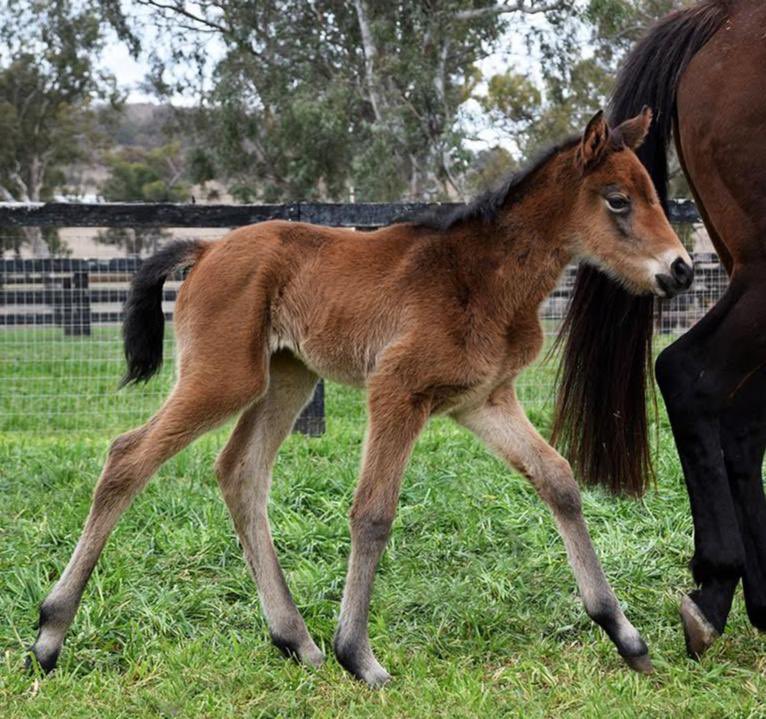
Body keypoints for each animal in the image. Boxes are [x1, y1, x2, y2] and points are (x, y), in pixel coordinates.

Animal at [28, 109, 693, 687]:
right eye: (617, 199)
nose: (681, 269)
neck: (482, 276)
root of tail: (208, 249)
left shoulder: (483, 400)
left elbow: (558, 480)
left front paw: (624, 634)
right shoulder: (397, 390)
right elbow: (373, 512)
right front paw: (360, 656)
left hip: (288, 377)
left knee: (240, 471)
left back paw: (296, 639)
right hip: (223, 377)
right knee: (128, 457)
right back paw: (50, 633)